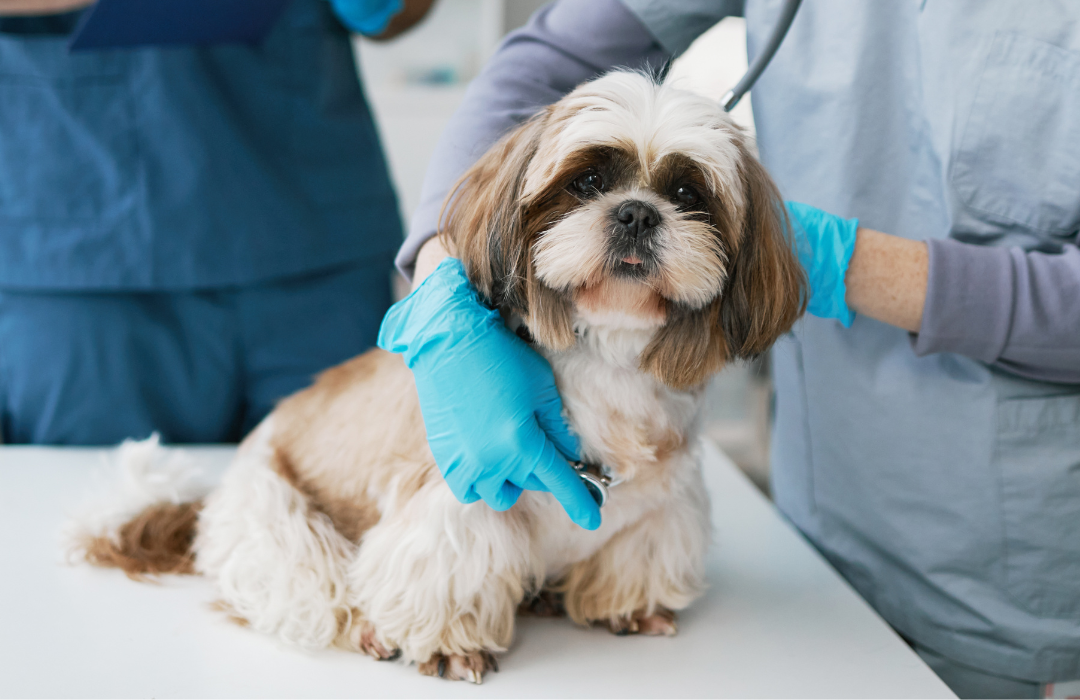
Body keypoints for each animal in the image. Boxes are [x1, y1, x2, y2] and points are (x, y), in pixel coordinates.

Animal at [73, 69, 803, 682]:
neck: (606, 353)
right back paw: (364, 623)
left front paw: (628, 604)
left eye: (686, 192)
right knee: (314, 584)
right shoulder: (462, 494)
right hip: (275, 517)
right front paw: (452, 643)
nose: (637, 212)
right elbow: (451, 564)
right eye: (588, 182)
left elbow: (639, 547)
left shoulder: (661, 505)